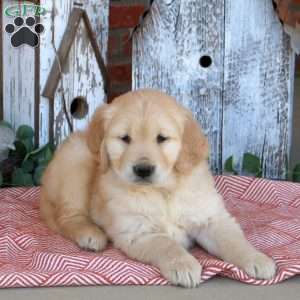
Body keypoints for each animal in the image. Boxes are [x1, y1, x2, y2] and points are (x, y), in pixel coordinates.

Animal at [40, 89, 276, 288]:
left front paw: (257, 259)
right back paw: (90, 234)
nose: (143, 170)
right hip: (77, 160)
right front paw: (183, 264)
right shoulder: (137, 232)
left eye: (162, 138)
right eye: (125, 138)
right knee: (67, 216)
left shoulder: (210, 218)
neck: (163, 191)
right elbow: (167, 244)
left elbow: (232, 240)